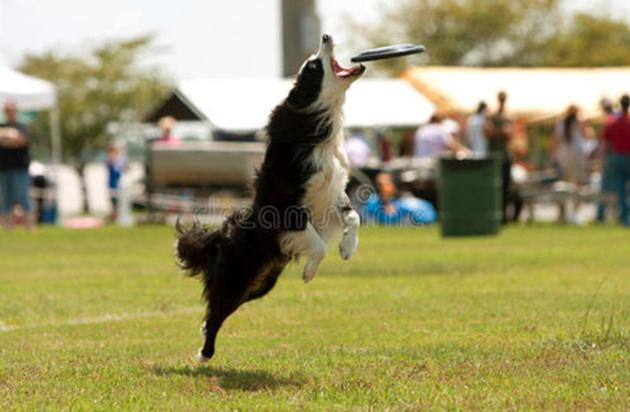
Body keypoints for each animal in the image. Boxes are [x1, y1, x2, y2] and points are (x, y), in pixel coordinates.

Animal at [177, 34, 366, 360]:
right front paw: (309, 273)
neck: (317, 123)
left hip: (261, 284)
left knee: (220, 309)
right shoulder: (287, 208)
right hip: (237, 277)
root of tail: (221, 237)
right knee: (217, 310)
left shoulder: (332, 193)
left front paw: (347, 249)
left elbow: (352, 216)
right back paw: (204, 353)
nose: (326, 36)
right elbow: (318, 246)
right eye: (313, 66)